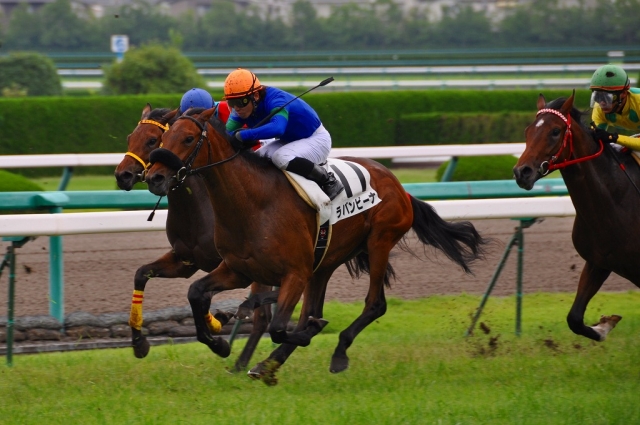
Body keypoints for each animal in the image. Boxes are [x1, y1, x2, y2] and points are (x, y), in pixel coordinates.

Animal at [114, 104, 274, 372]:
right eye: (129, 137)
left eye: (152, 140)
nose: (122, 175)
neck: (200, 207)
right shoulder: (186, 261)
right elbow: (141, 274)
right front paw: (138, 342)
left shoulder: (234, 265)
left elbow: (204, 297)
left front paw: (218, 337)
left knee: (263, 316)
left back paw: (242, 363)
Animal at [145, 107, 488, 385]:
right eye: (163, 138)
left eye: (188, 138)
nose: (155, 177)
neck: (254, 204)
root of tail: (399, 186)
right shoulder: (237, 269)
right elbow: (196, 292)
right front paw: (220, 343)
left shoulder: (295, 272)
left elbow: (280, 326)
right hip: (326, 260)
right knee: (313, 308)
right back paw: (267, 362)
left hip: (380, 240)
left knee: (375, 304)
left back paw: (335, 353)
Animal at [513, 92, 638, 341]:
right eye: (527, 131)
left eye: (555, 131)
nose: (522, 172)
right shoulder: (598, 262)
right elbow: (574, 319)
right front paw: (604, 325)